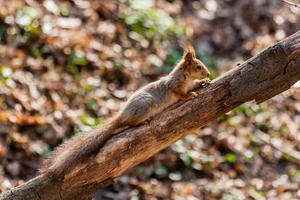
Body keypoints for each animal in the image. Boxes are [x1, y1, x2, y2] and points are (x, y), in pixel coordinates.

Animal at [38, 45, 210, 180]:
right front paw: (190, 95)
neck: (187, 77)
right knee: (130, 123)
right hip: (146, 105)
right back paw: (143, 121)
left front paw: (203, 82)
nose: (208, 74)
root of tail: (122, 116)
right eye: (198, 67)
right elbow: (180, 94)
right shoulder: (175, 85)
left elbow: (194, 86)